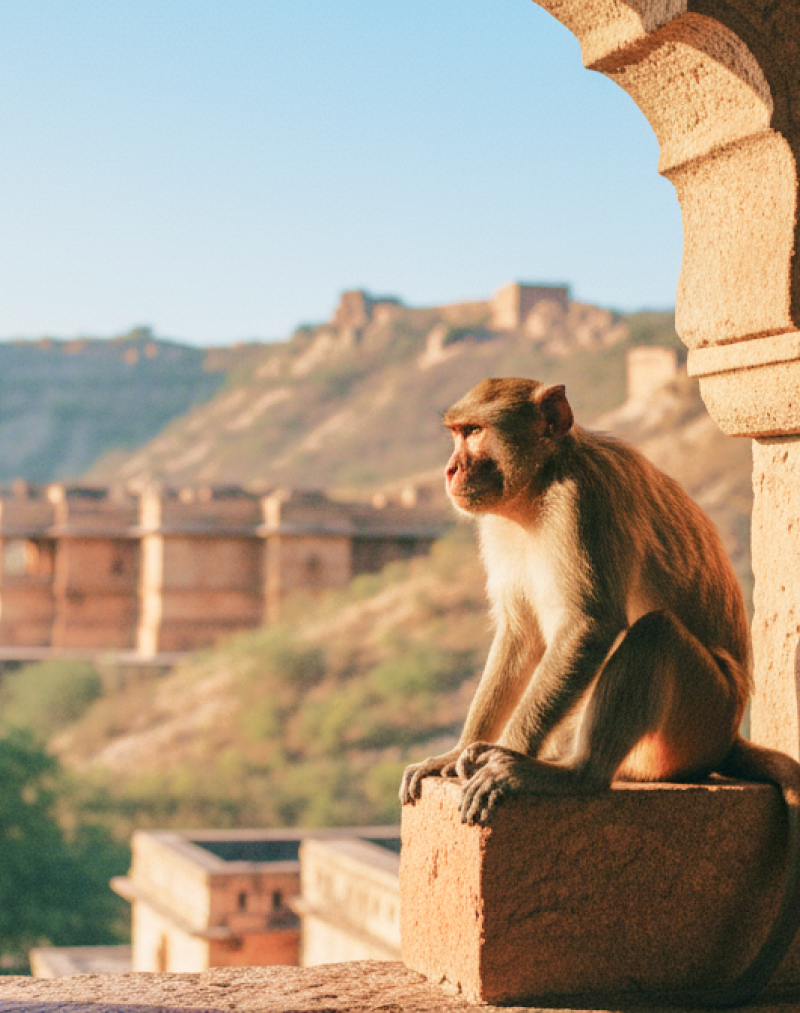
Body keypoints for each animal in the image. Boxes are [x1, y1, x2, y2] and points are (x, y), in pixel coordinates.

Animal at [400, 377, 800, 1008]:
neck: (540, 483)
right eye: (457, 433)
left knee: (654, 635)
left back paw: (572, 775)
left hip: (699, 718)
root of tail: (731, 732)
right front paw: (459, 751)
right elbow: (522, 637)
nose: (450, 468)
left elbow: (590, 626)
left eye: (474, 432)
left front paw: (498, 759)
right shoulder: (499, 524)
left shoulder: (584, 505)